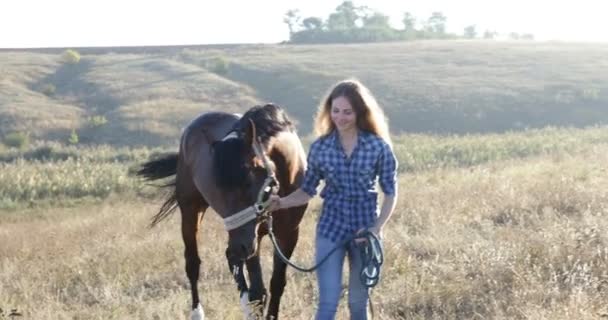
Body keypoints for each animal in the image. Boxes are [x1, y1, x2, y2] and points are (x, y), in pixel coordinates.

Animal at [138, 104, 308, 318]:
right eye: (217, 186)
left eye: (247, 182)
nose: (241, 247)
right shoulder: (253, 238)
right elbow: (258, 291)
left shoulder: (289, 234)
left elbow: (276, 285)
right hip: (192, 211)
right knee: (194, 264)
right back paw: (198, 313)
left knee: (231, 257)